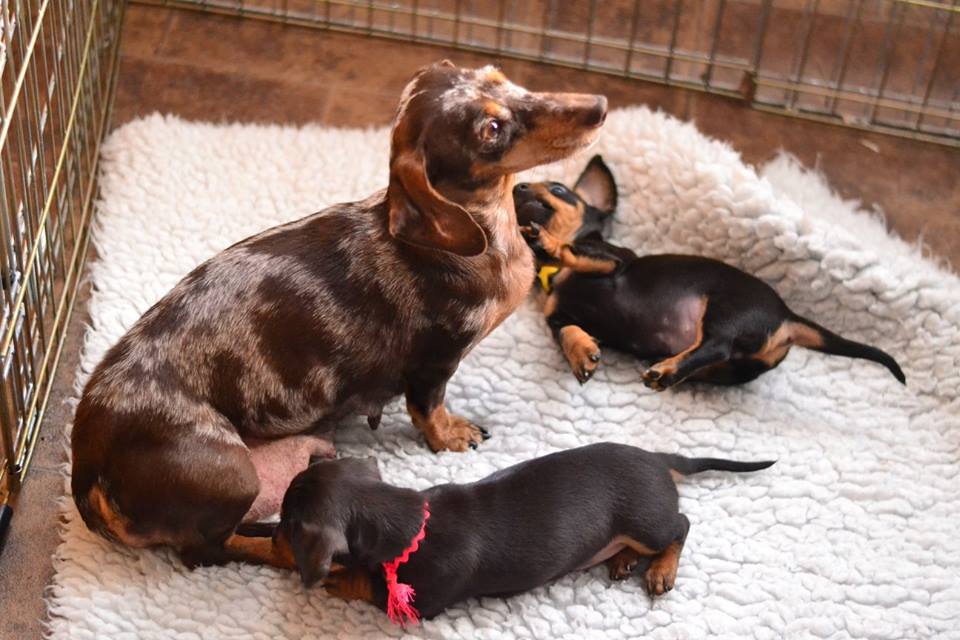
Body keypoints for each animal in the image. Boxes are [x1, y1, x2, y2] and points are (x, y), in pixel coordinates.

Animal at [71, 62, 608, 568]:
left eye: (502, 77)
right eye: (491, 130)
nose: (600, 106)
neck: (474, 234)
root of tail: (88, 467)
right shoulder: (437, 359)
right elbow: (428, 407)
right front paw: (451, 435)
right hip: (231, 473)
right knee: (208, 550)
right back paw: (282, 549)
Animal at [272, 442, 772, 624]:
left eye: (288, 525)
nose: (271, 537)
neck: (409, 521)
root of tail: (656, 458)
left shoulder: (425, 602)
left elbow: (366, 582)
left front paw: (338, 578)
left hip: (646, 520)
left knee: (680, 526)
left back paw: (659, 570)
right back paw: (622, 560)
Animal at [512, 158, 904, 392]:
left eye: (558, 189)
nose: (516, 186)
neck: (551, 277)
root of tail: (787, 316)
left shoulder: (613, 261)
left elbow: (573, 251)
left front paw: (547, 242)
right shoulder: (558, 317)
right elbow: (568, 333)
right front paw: (582, 353)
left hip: (725, 311)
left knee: (716, 344)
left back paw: (666, 370)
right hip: (736, 367)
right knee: (715, 356)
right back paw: (668, 367)